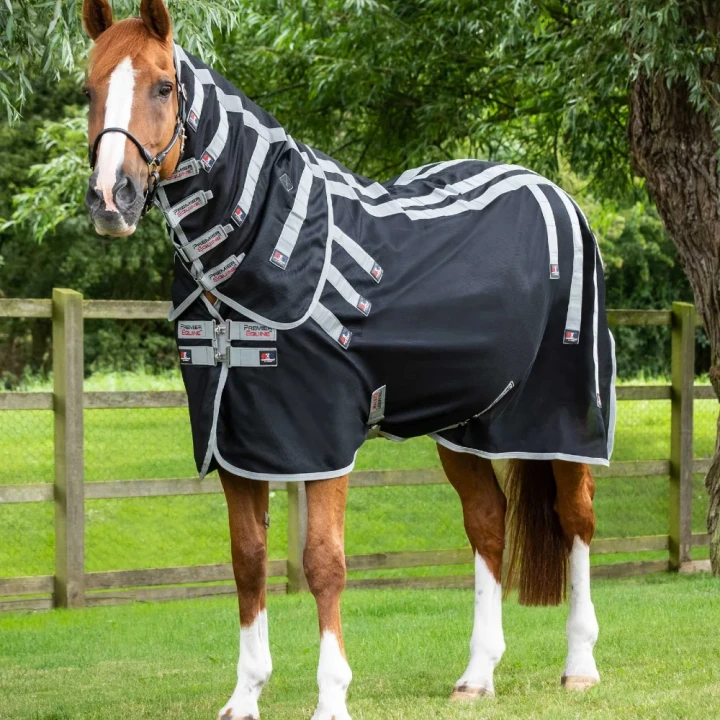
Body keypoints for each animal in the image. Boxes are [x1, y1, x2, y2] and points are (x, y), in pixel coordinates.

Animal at [80, 1, 614, 718]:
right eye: (89, 89)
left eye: (163, 86)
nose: (112, 199)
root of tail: (554, 194)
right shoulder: (238, 438)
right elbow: (248, 559)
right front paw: (245, 695)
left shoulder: (320, 436)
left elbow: (324, 562)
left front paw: (332, 697)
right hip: (464, 426)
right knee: (488, 525)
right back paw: (477, 675)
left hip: (560, 418)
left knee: (576, 519)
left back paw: (580, 666)